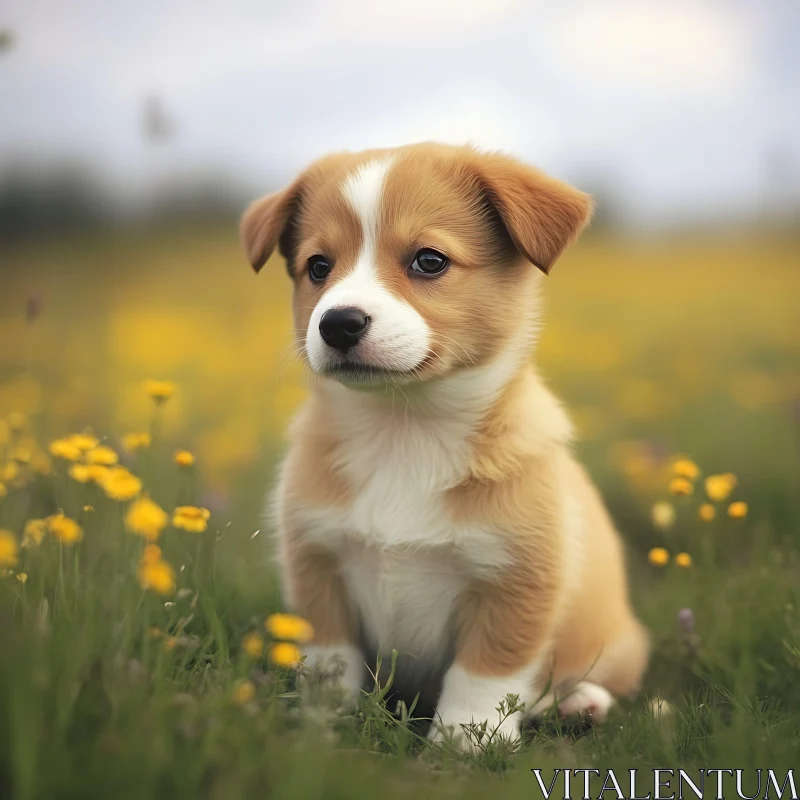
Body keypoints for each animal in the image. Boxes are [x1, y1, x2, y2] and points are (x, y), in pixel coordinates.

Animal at [241, 142, 648, 744]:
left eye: (429, 261)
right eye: (318, 267)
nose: (338, 323)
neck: (404, 430)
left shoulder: (516, 578)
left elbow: (484, 672)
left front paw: (464, 741)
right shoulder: (317, 565)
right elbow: (329, 663)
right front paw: (323, 728)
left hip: (614, 643)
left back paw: (582, 705)